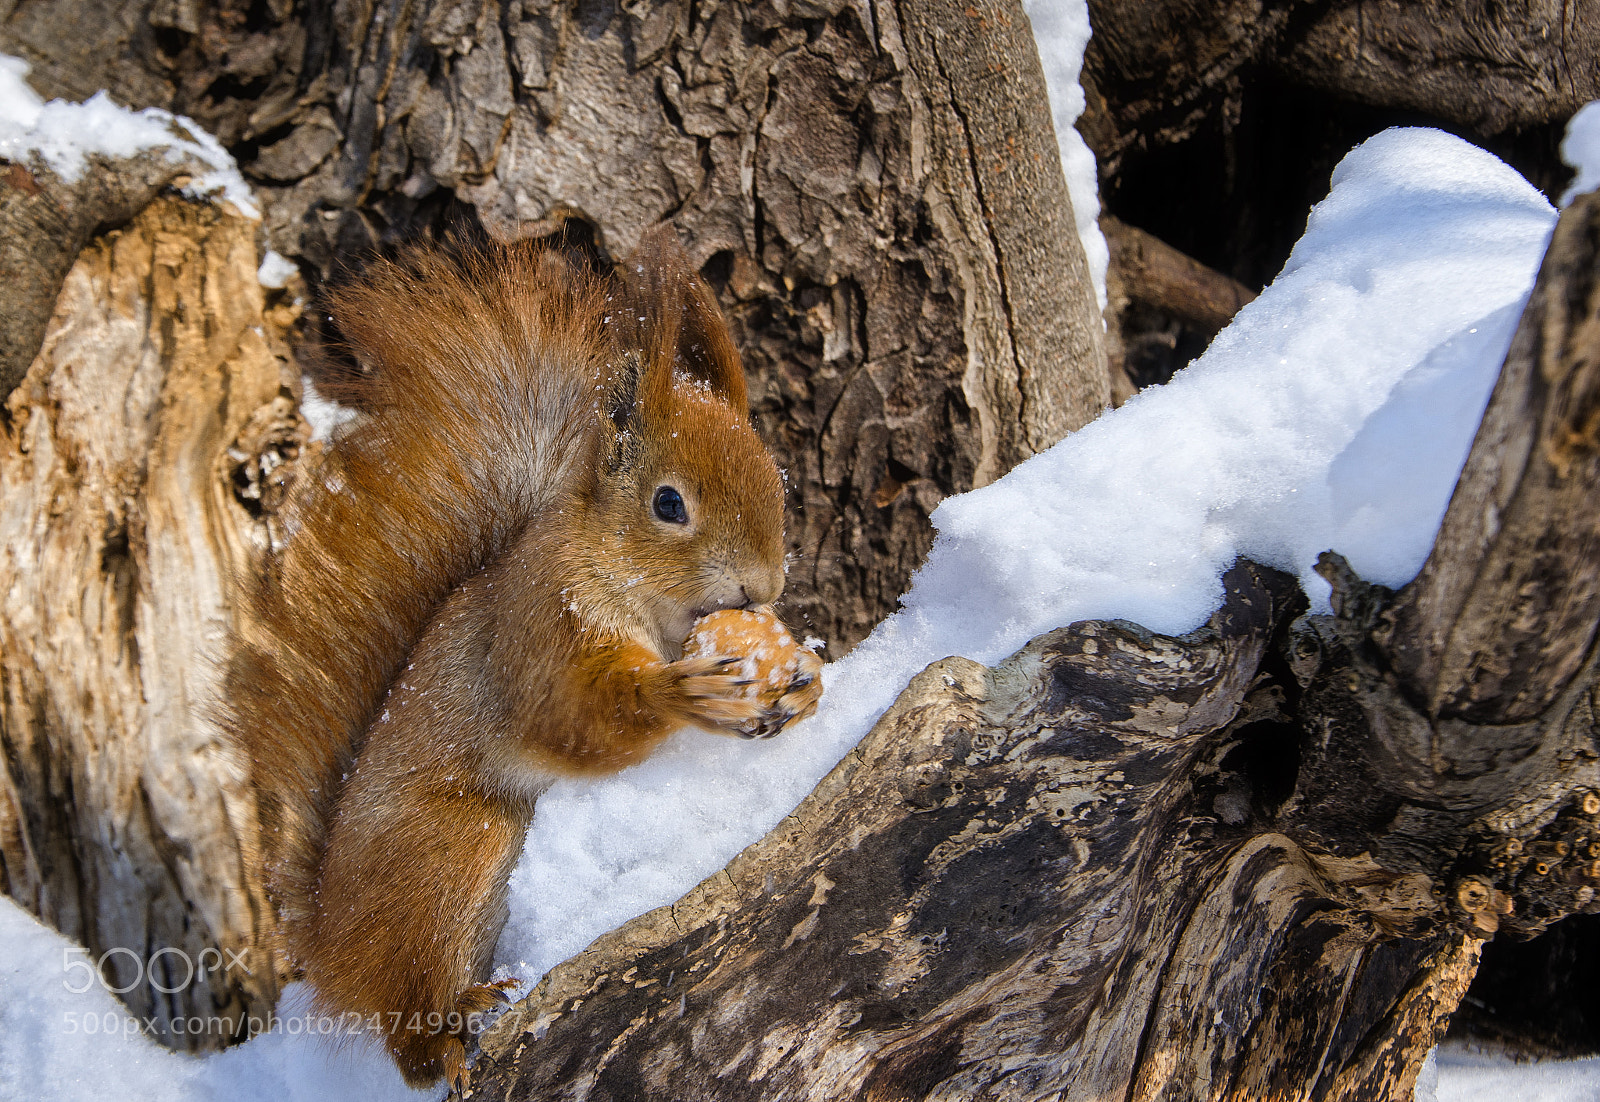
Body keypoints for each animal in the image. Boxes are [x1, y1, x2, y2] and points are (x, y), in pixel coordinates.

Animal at [224, 226, 823, 1088]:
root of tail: (328, 948)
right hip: (448, 855)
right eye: (668, 503)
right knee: (406, 1026)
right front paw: (681, 695)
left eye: (776, 482)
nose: (763, 585)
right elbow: (569, 715)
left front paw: (802, 685)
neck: (654, 612)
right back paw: (447, 1032)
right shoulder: (542, 622)